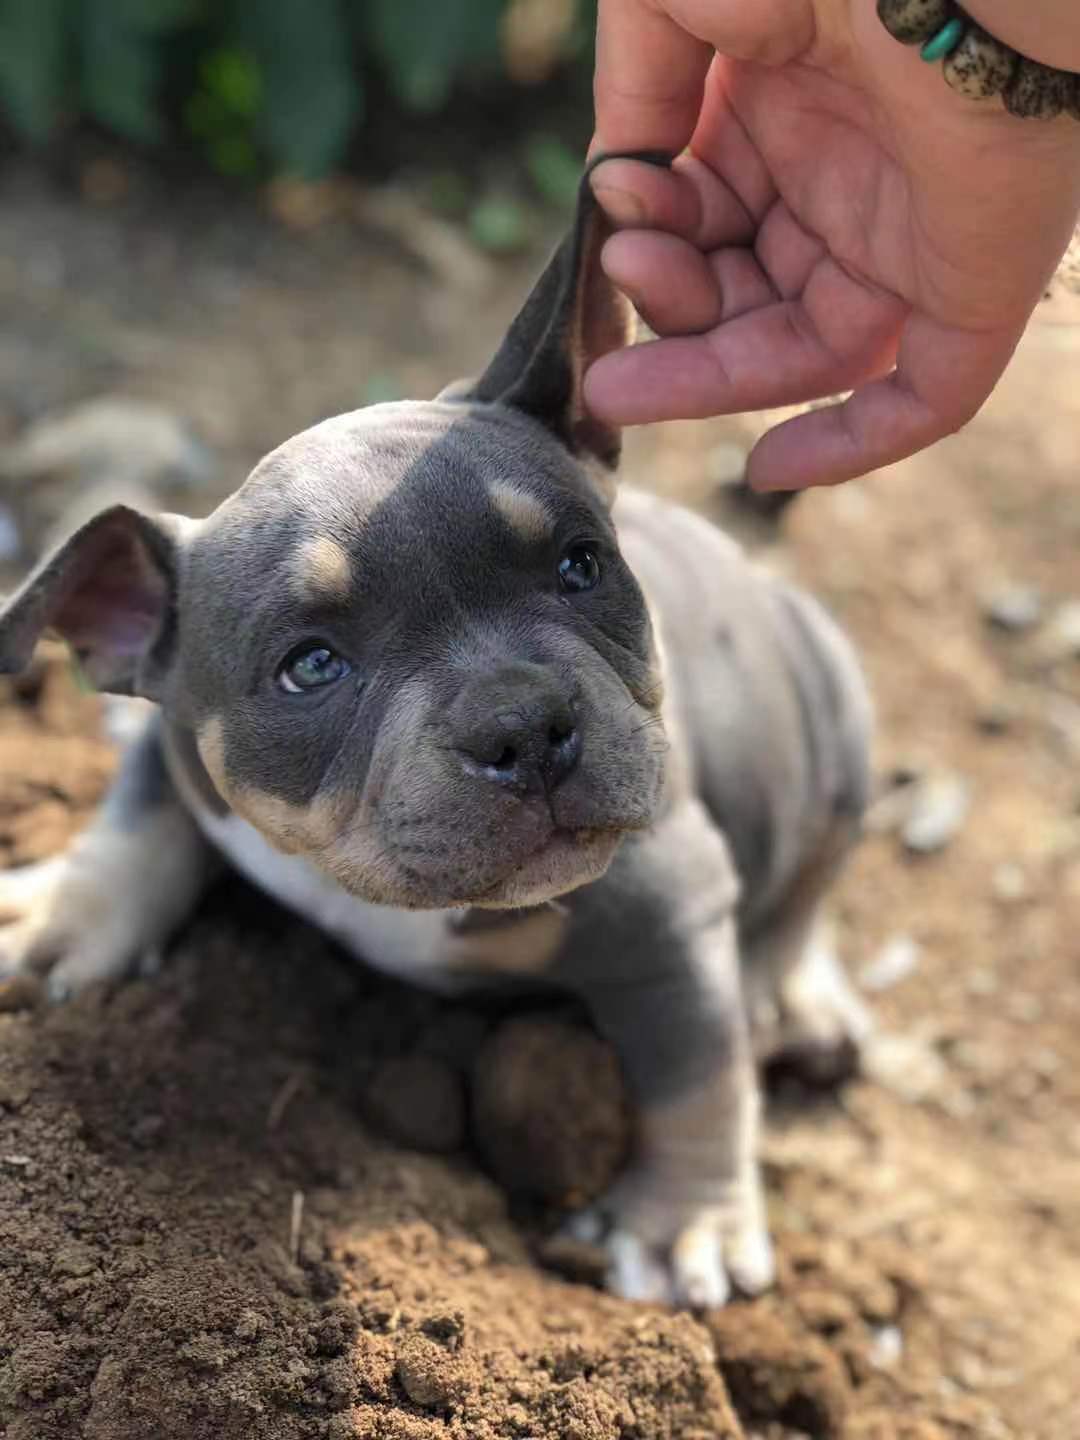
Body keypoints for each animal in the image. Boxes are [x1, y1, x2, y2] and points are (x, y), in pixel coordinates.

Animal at [0, 157, 875, 1307]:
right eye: (311, 667)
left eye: (582, 566)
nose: (527, 725)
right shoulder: (177, 739)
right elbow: (138, 812)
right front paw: (63, 913)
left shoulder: (669, 905)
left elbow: (694, 1065)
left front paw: (685, 1221)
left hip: (839, 706)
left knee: (814, 879)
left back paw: (799, 997)